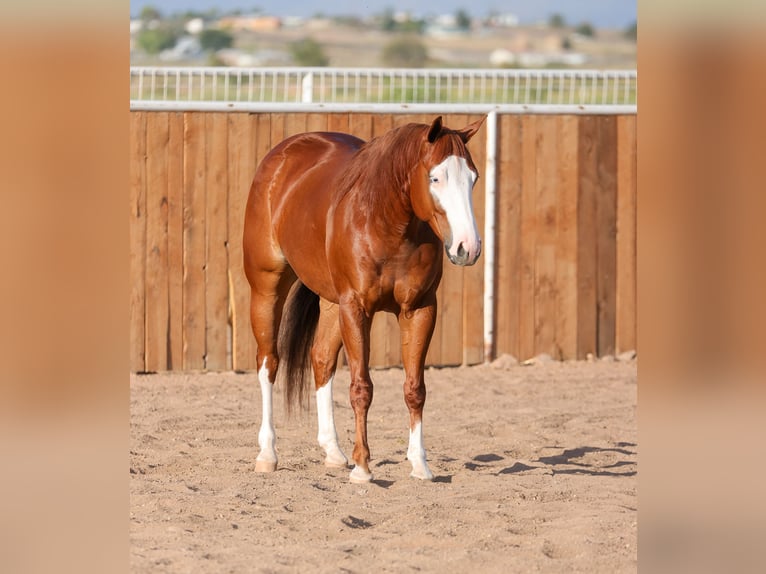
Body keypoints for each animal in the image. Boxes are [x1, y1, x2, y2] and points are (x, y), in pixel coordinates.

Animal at [243, 115, 485, 483]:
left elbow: (415, 389)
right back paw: (268, 453)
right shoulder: (357, 309)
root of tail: (281, 156)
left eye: (473, 177)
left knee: (321, 360)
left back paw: (332, 451)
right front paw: (362, 467)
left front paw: (419, 464)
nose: (467, 248)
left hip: (332, 304)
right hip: (267, 287)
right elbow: (361, 388)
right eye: (435, 177)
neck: (387, 223)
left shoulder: (419, 309)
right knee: (268, 362)